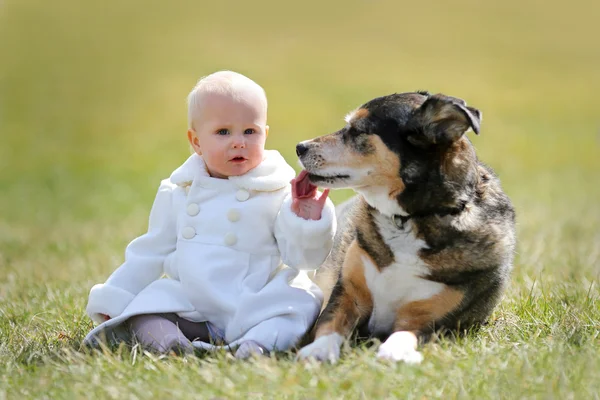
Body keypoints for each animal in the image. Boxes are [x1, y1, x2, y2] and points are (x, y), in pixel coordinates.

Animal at [296, 90, 516, 362]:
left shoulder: (426, 320)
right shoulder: (348, 294)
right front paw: (319, 349)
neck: (408, 219)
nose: (299, 147)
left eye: (358, 130)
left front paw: (393, 352)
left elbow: (403, 335)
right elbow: (330, 323)